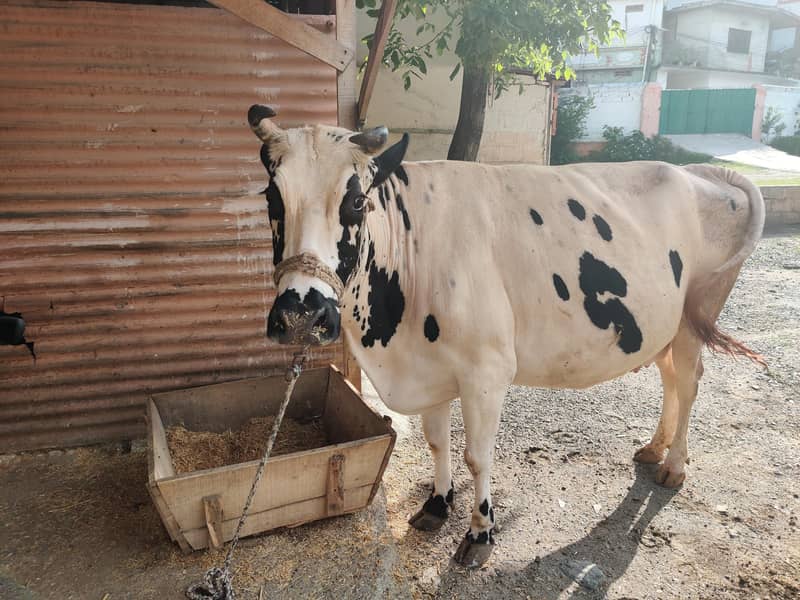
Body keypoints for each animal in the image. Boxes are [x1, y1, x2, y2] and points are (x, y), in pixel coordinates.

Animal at [246, 104, 765, 567]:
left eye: (356, 201)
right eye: (272, 199)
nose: (301, 314)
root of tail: (699, 172)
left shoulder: (487, 372)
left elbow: (477, 457)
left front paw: (480, 534)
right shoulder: (429, 367)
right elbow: (437, 443)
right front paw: (436, 505)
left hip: (697, 315)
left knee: (691, 381)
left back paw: (674, 466)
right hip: (660, 324)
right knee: (671, 377)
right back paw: (654, 448)